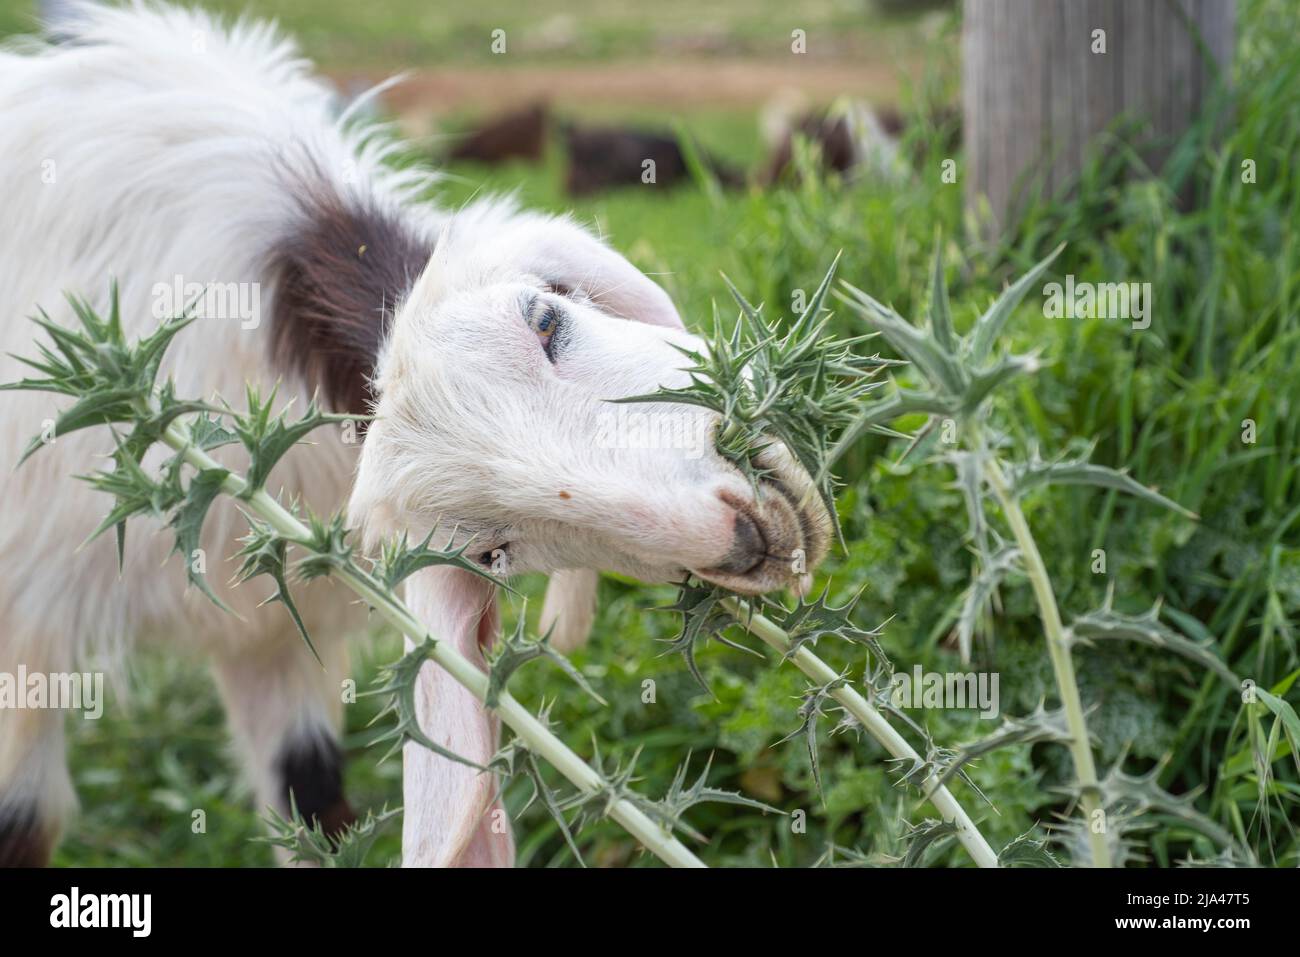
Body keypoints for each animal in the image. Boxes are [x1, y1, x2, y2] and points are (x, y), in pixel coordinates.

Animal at [0, 1, 832, 868]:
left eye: (546, 319)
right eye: (495, 551)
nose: (749, 535)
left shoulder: (266, 632)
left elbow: (310, 802)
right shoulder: (27, 628)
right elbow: (25, 821)